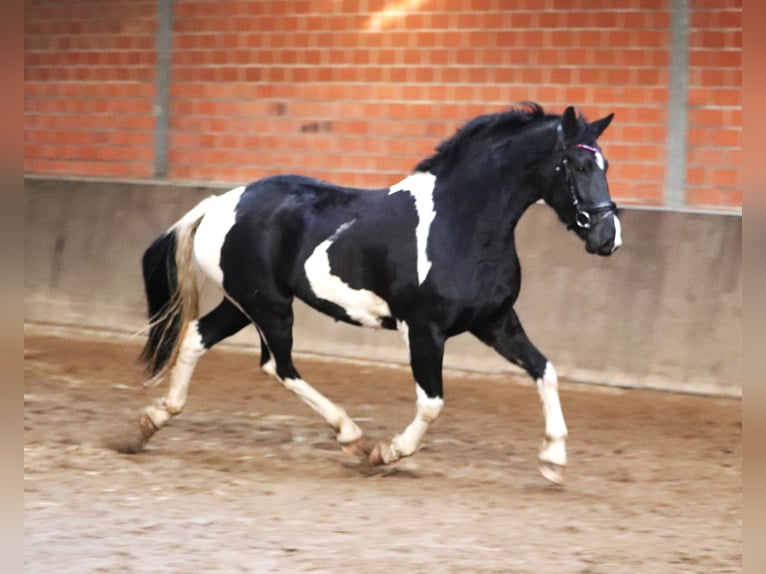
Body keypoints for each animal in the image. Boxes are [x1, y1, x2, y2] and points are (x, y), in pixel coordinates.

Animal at [129, 103, 620, 486]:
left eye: (606, 166)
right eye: (579, 167)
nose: (608, 237)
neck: (460, 223)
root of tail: (218, 204)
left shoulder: (494, 321)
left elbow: (544, 370)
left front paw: (553, 461)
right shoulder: (423, 330)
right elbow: (432, 403)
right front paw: (387, 453)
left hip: (243, 305)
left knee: (198, 337)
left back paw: (151, 422)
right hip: (269, 307)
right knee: (278, 365)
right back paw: (351, 437)